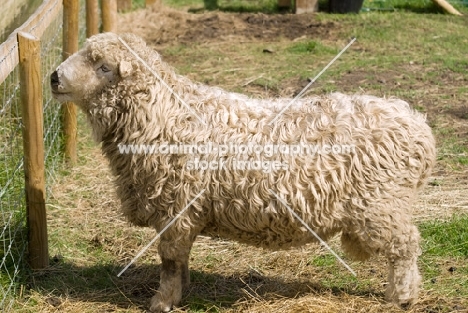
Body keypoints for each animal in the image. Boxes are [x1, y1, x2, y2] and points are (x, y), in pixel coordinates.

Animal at [50, 33, 436, 310]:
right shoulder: (184, 212)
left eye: (103, 67)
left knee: (405, 248)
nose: (54, 77)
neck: (162, 115)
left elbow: (170, 261)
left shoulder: (176, 207)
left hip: (383, 205)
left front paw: (162, 301)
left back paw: (403, 296)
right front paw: (182, 291)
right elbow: (180, 259)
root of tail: (419, 128)